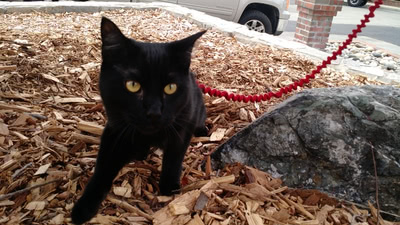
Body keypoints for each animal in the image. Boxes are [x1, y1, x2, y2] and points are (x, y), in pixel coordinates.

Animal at [70, 16, 208, 224]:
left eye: (170, 88)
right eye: (133, 85)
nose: (154, 112)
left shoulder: (182, 127)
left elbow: (174, 157)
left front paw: (169, 188)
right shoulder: (115, 130)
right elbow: (103, 167)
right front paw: (84, 206)